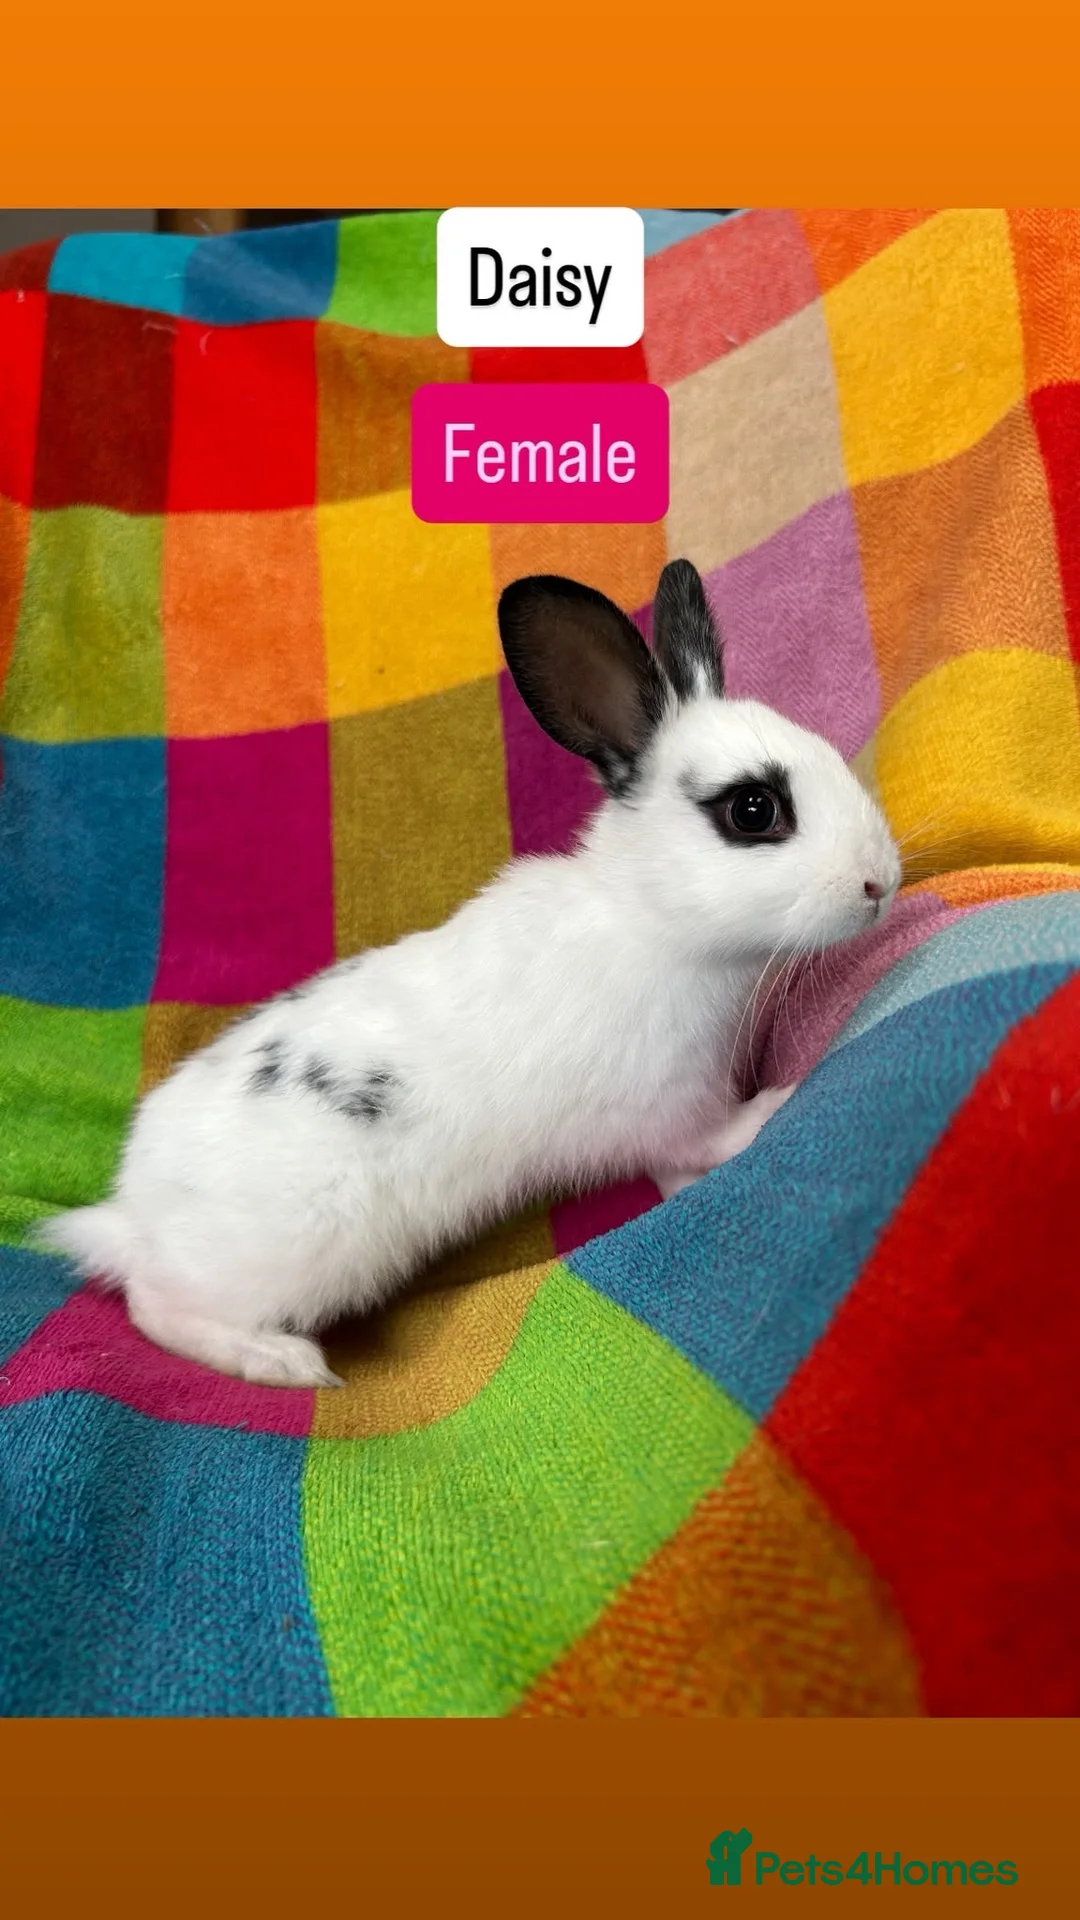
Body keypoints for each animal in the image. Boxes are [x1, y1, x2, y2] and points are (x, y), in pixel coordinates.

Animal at [38, 560, 901, 1389]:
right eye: (753, 811)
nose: (881, 883)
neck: (652, 918)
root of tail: (133, 1215)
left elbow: (676, 1176)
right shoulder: (666, 1103)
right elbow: (715, 1137)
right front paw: (777, 1102)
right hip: (292, 1255)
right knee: (157, 1308)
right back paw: (284, 1365)